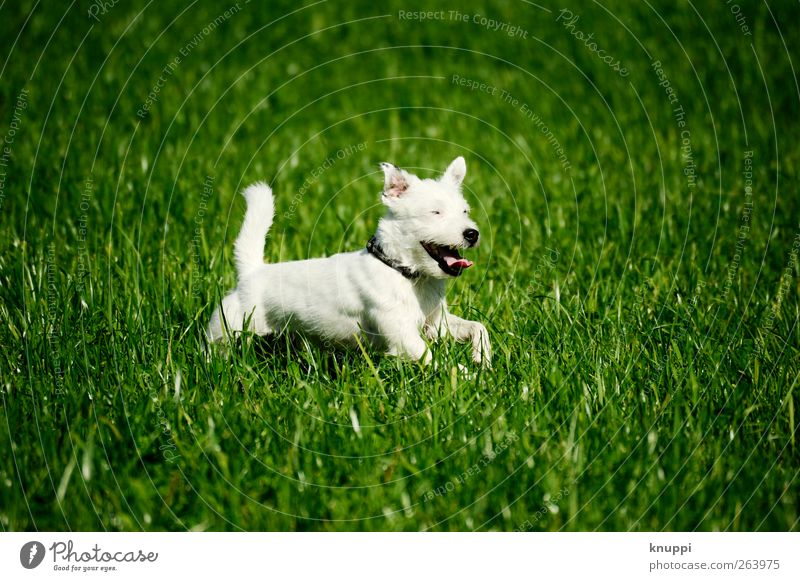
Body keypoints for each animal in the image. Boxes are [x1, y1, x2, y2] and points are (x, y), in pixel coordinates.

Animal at [206, 156, 490, 364]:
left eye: (465, 211)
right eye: (435, 212)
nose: (472, 233)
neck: (403, 273)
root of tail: (251, 273)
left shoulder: (436, 324)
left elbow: (478, 327)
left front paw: (482, 359)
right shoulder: (403, 336)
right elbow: (434, 359)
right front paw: (465, 377)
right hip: (227, 331)